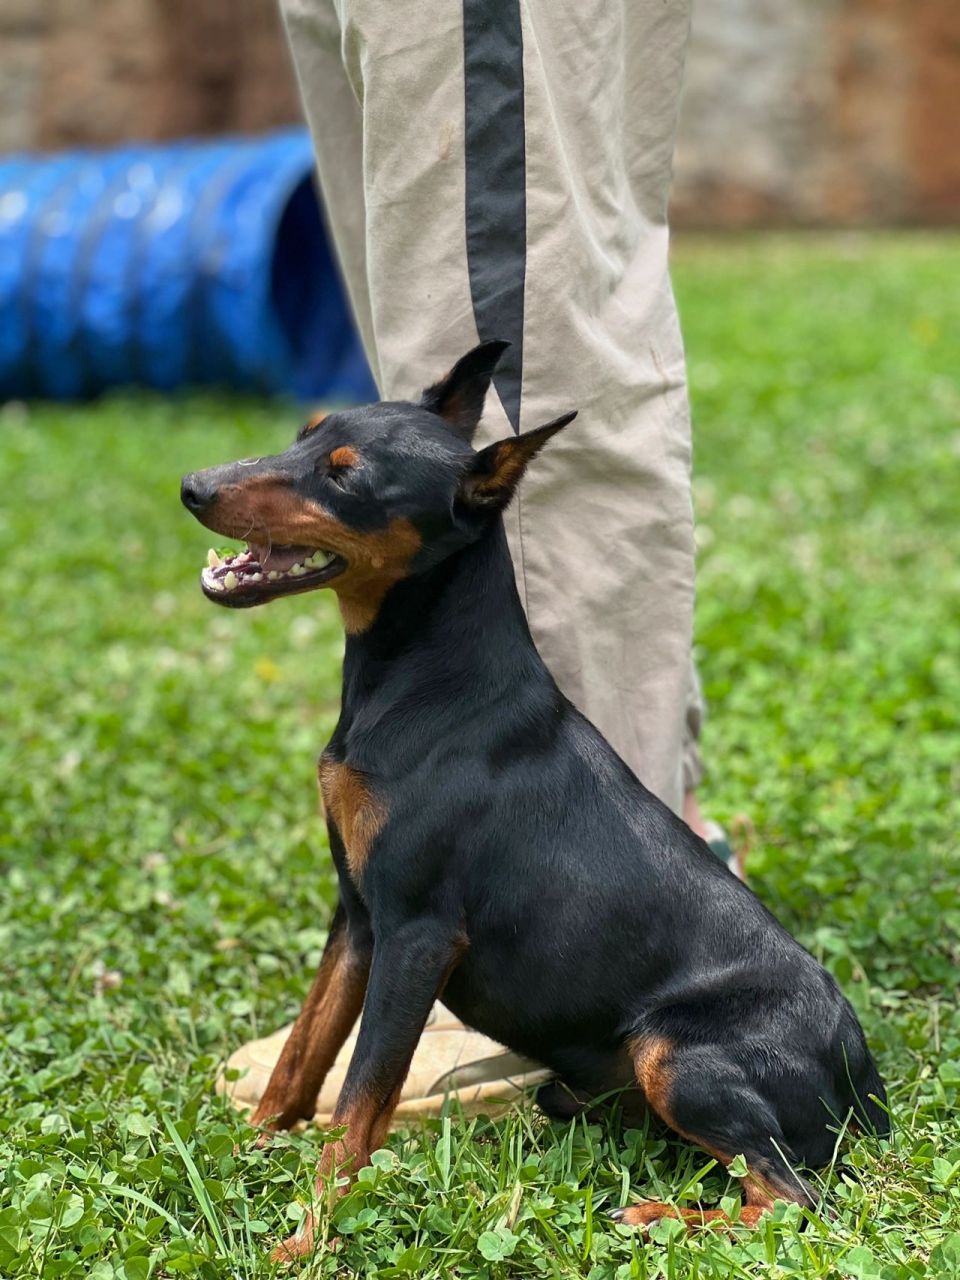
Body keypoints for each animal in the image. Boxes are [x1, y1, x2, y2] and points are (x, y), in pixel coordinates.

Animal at [179, 343, 885, 1259]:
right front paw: (253, 1148)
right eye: (305, 434)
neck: (426, 680)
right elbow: (306, 1052)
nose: (194, 486)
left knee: (795, 1200)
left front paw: (307, 1240)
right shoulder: (358, 916)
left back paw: (651, 1218)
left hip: (674, 1052)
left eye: (348, 477)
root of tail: (863, 1074)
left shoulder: (417, 933)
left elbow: (358, 1105)